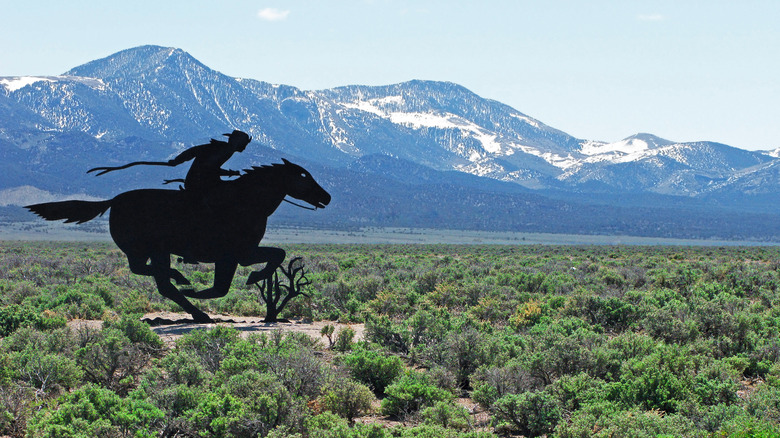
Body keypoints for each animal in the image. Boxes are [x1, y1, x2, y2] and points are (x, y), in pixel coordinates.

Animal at [26, 158, 330, 322]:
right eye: (304, 176)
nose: (326, 197)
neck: (245, 202)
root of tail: (113, 201)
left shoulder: (237, 255)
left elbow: (268, 259)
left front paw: (253, 278)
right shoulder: (237, 254)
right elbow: (233, 280)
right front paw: (253, 277)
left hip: (152, 250)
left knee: (152, 277)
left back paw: (188, 294)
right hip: (152, 249)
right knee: (155, 277)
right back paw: (189, 294)